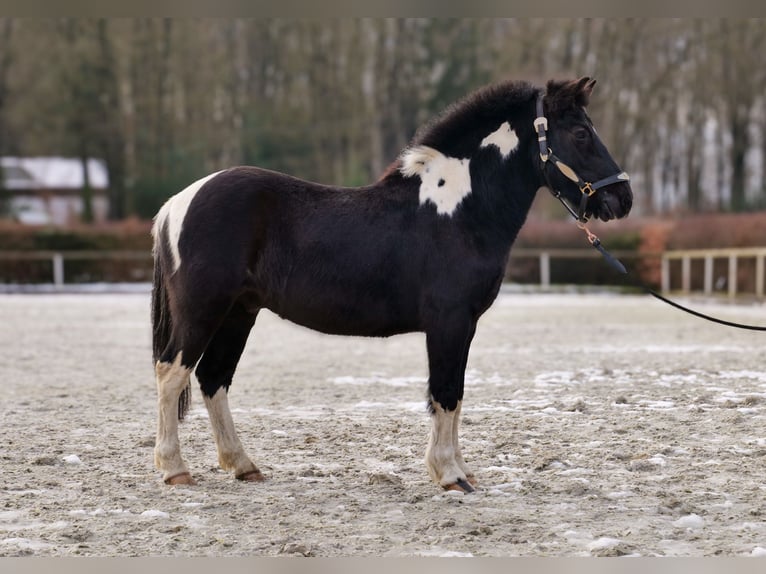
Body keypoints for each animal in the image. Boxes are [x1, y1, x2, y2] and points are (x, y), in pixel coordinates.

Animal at [152, 77, 636, 496]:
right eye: (580, 133)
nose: (621, 199)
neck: (456, 212)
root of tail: (178, 203)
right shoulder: (448, 322)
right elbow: (445, 393)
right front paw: (449, 475)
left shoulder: (465, 326)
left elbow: (456, 394)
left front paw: (461, 471)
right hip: (204, 310)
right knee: (171, 373)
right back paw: (175, 470)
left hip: (239, 313)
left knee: (214, 379)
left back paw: (243, 465)